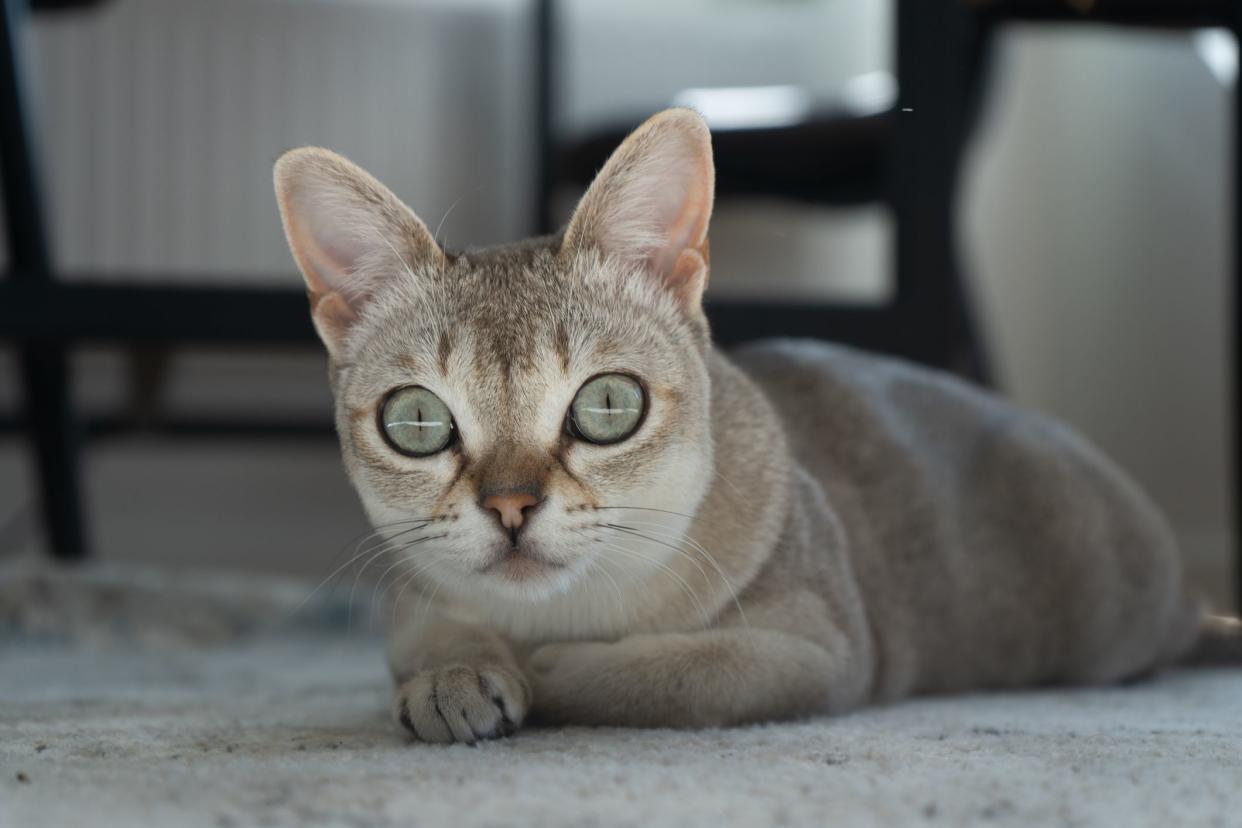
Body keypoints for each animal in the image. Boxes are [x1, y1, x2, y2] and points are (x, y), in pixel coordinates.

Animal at [276, 105, 1237, 744]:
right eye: (416, 421)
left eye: (608, 406)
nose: (510, 509)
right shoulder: (413, 600)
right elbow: (429, 638)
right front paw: (455, 676)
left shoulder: (816, 650)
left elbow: (668, 676)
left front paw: (543, 672)